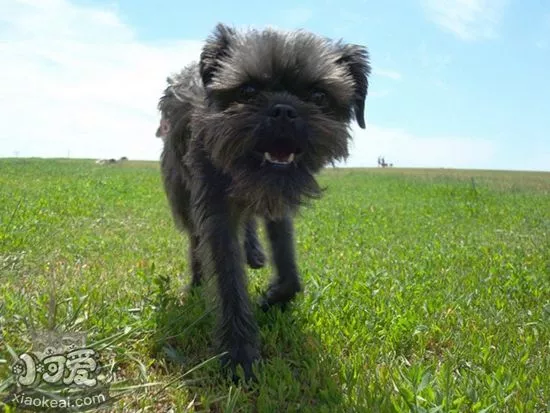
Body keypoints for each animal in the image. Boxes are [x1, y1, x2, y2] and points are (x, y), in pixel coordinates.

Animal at [155, 23, 370, 380]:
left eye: (318, 96)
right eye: (247, 91)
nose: (283, 109)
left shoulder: (277, 206)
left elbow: (287, 260)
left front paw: (277, 298)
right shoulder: (215, 211)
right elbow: (228, 279)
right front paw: (239, 354)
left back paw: (254, 251)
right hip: (182, 193)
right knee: (195, 239)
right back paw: (199, 281)